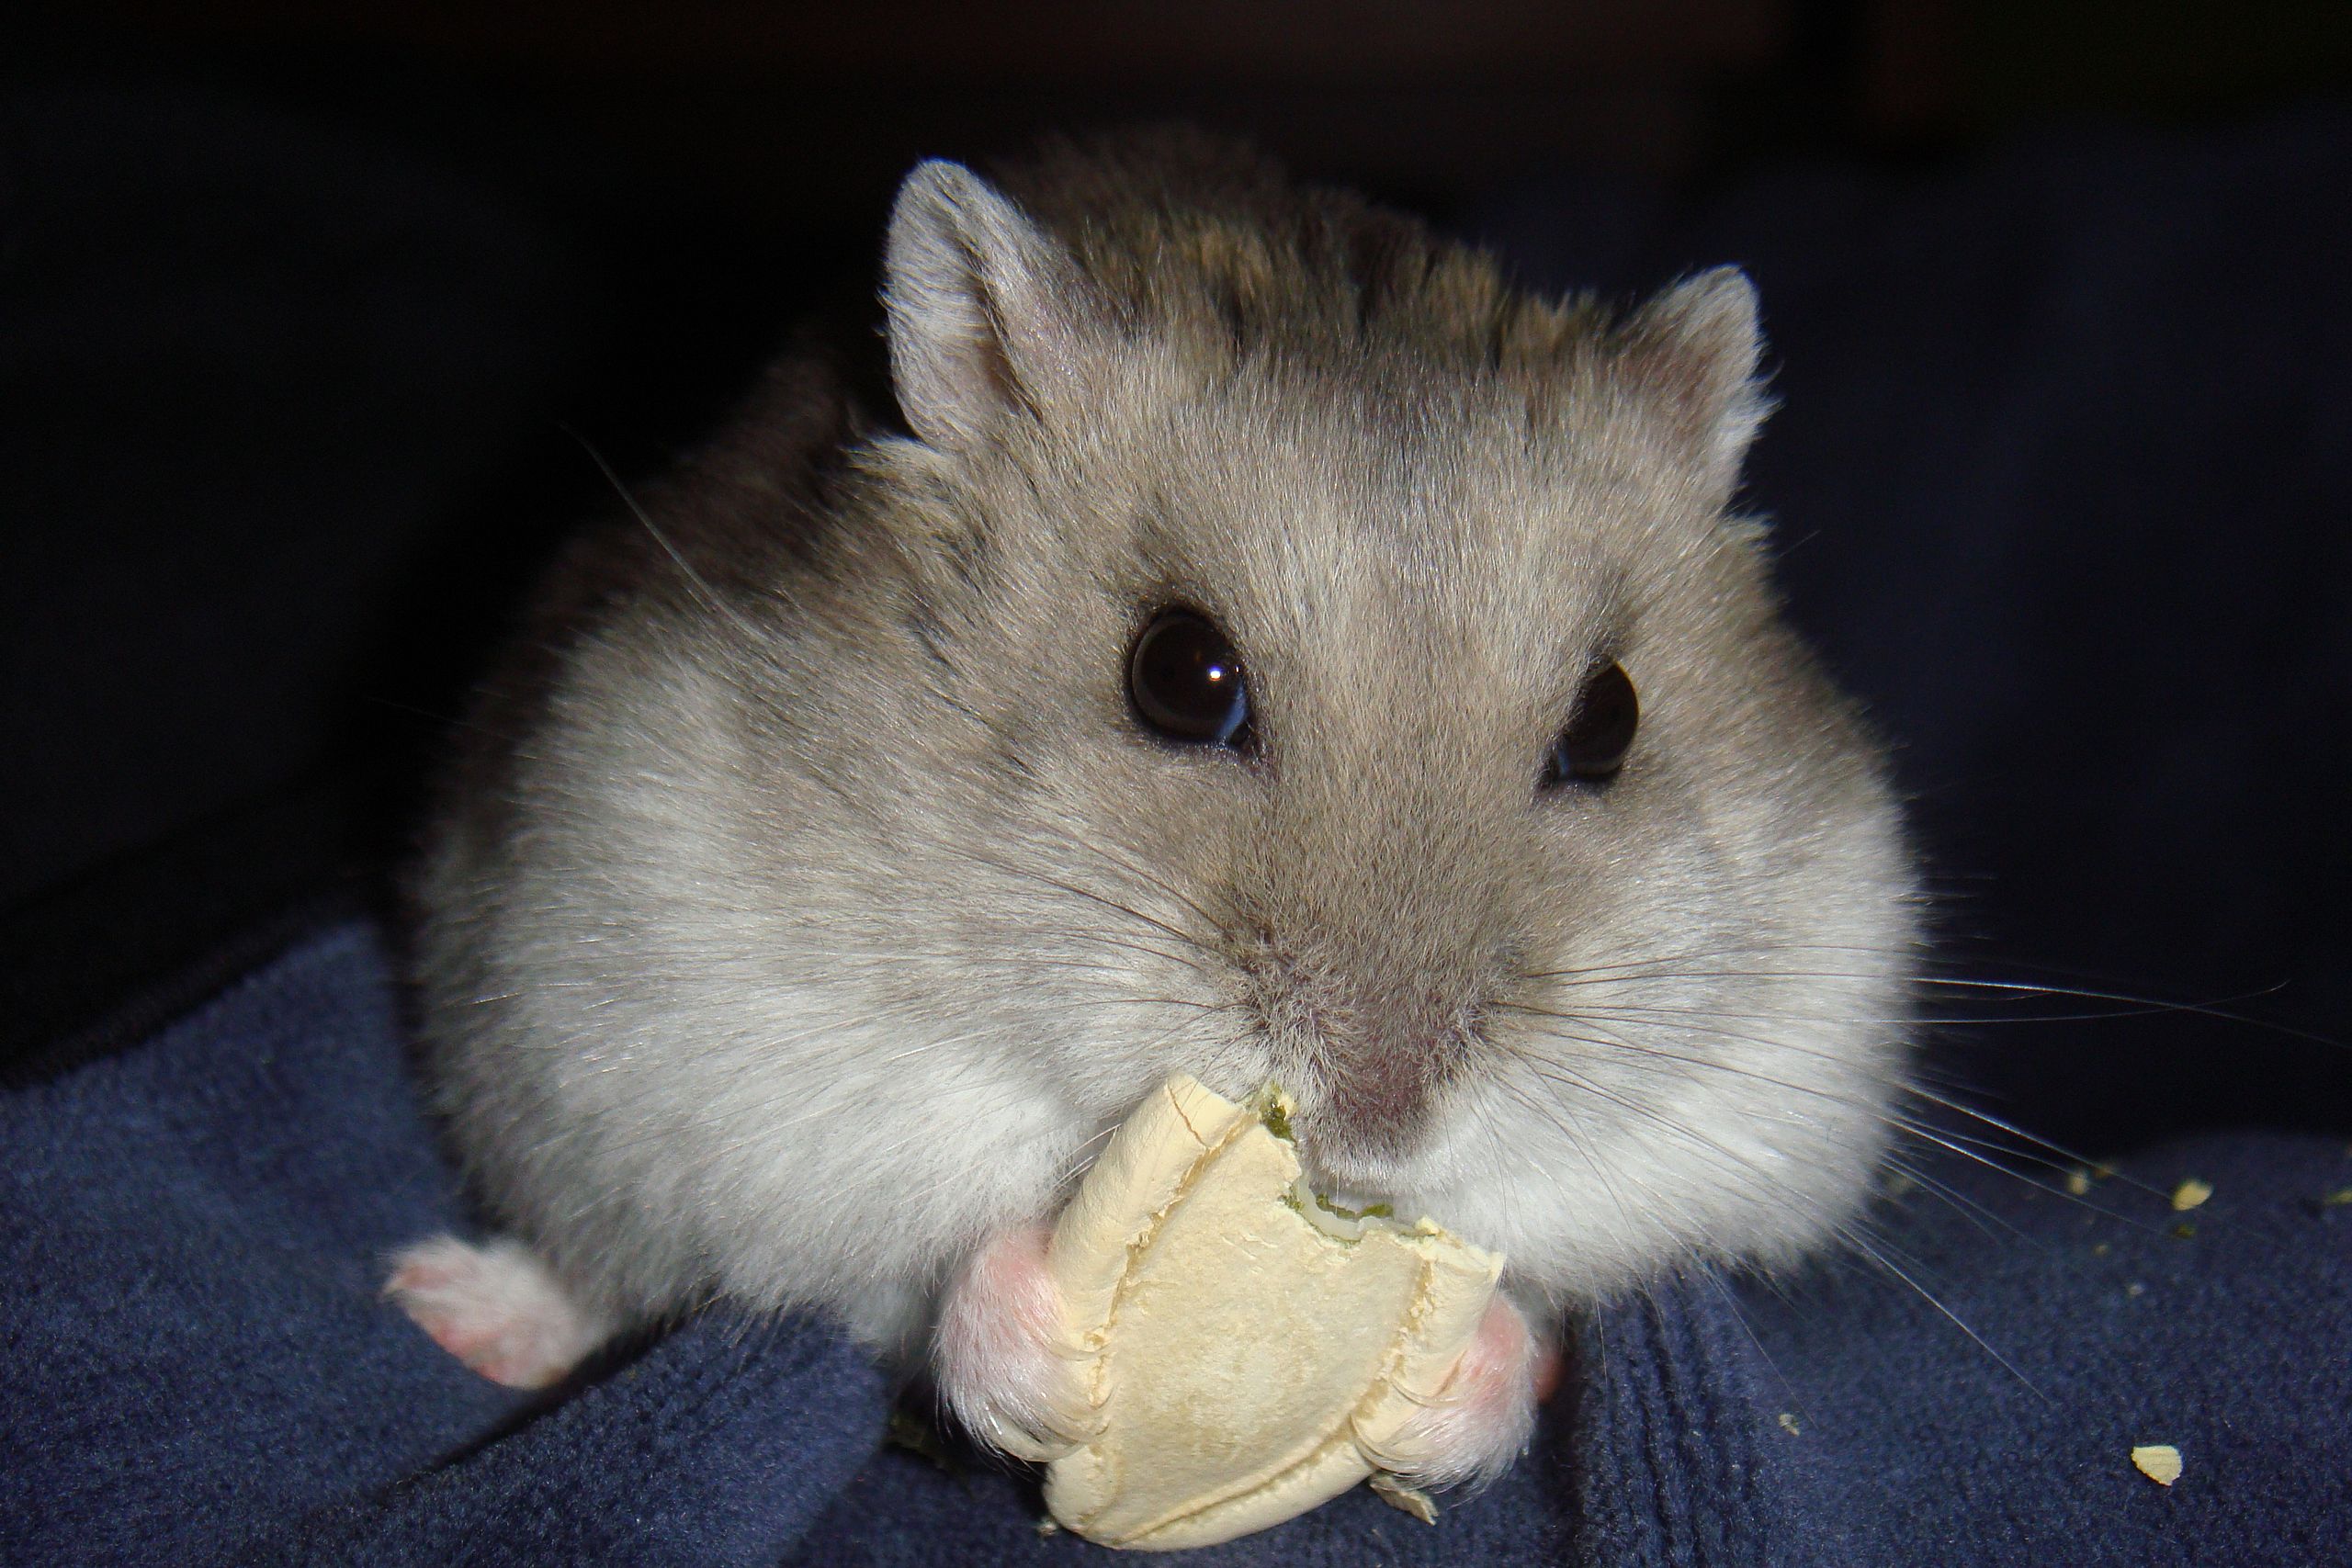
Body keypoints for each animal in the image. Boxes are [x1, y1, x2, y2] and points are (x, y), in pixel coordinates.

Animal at [385, 125, 1918, 1485]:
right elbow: (905, 1268)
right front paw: (1051, 1350)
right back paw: (443, 1305)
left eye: (1609, 721)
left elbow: (1543, 1301)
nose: (1375, 1131)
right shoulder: (730, 1050)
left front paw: (1452, 1386)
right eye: (1181, 676)